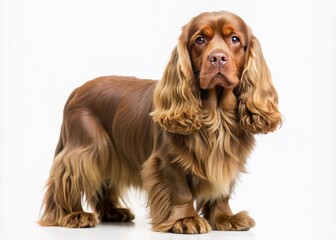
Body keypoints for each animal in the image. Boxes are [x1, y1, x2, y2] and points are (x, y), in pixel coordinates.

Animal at [39, 10, 280, 233]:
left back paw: (112, 212)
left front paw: (225, 218)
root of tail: (77, 89)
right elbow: (180, 191)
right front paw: (186, 219)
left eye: (235, 39)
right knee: (65, 179)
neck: (216, 114)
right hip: (89, 148)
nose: (218, 58)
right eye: (200, 39)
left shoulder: (226, 159)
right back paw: (72, 215)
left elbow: (221, 192)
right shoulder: (167, 161)